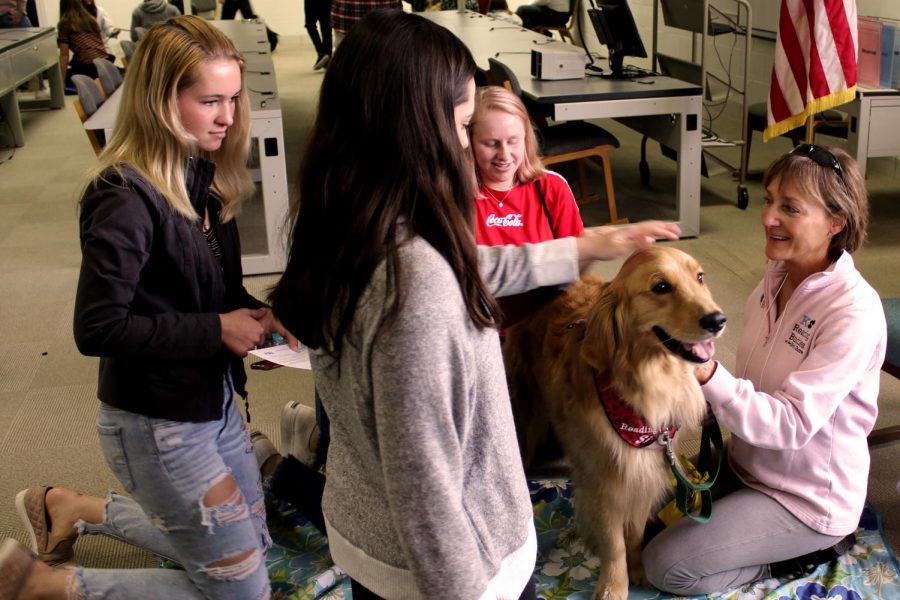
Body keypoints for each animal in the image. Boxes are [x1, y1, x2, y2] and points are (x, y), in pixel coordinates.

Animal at [506, 245, 724, 600]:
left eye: (700, 277)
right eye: (661, 287)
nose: (717, 320)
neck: (645, 384)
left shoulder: (645, 469)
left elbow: (633, 534)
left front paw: (636, 570)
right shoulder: (605, 479)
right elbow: (614, 543)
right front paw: (613, 586)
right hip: (528, 415)